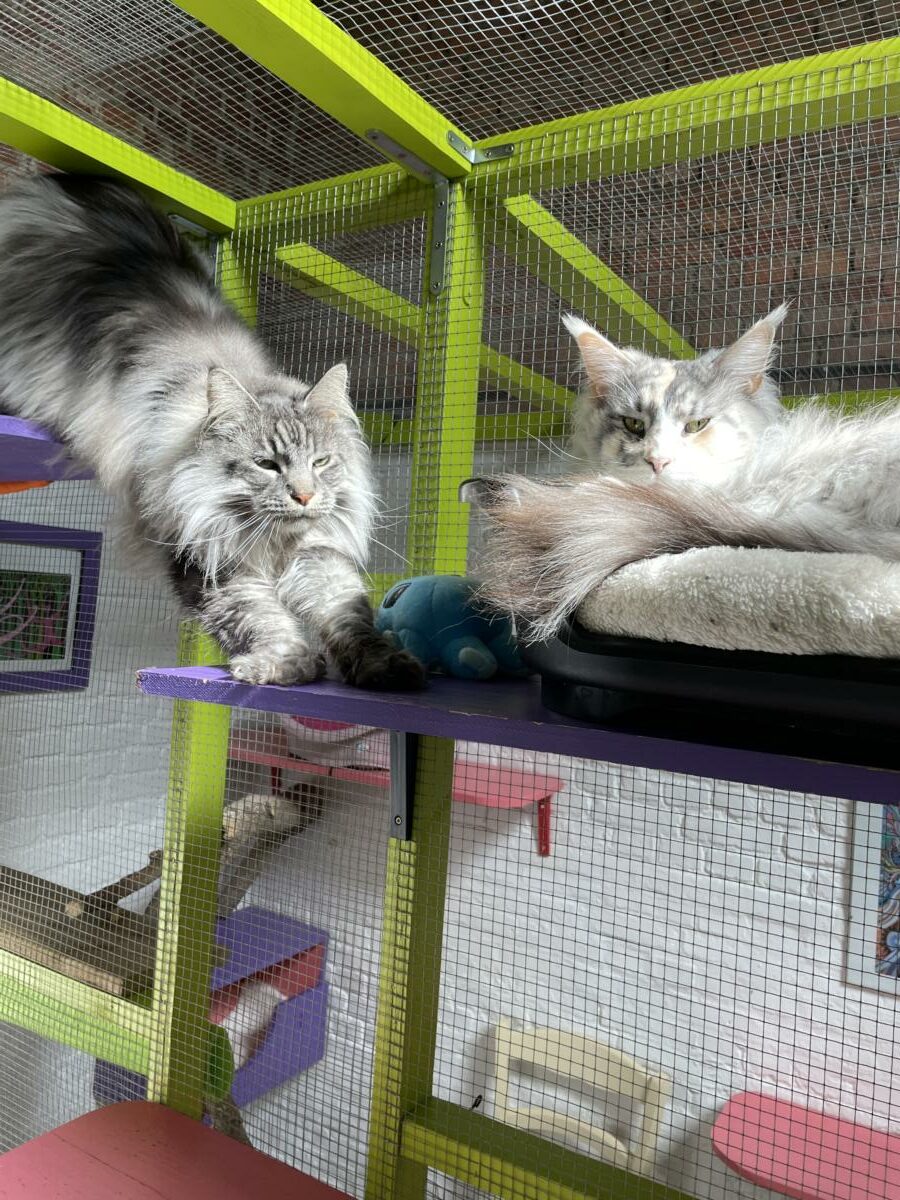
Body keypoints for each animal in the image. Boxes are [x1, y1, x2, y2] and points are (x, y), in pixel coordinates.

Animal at [0, 174, 424, 690]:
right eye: (267, 464)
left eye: (321, 462)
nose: (304, 495)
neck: (272, 543)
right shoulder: (209, 559)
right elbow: (260, 616)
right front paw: (284, 664)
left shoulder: (319, 558)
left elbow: (348, 616)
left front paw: (385, 665)